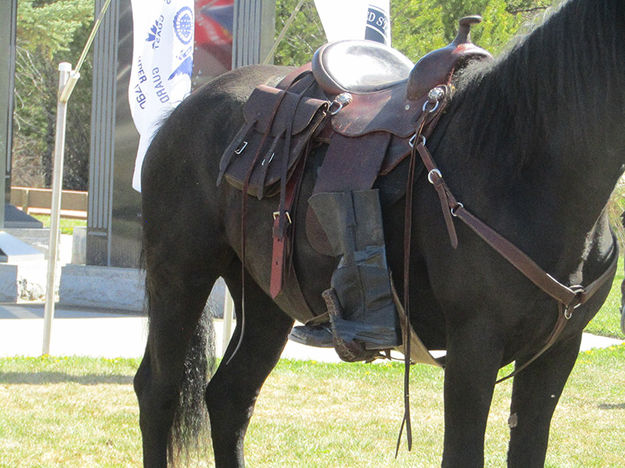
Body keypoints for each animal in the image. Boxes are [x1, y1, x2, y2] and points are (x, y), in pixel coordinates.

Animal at [133, 1, 624, 466]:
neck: (522, 159)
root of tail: (183, 112)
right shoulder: (473, 347)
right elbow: (462, 454)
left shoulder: (557, 351)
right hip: (180, 276)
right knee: (157, 390)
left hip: (265, 300)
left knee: (230, 397)